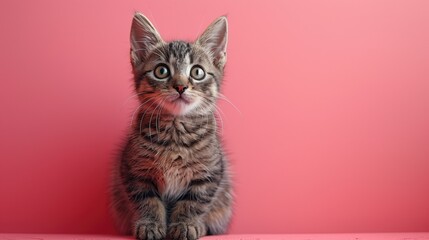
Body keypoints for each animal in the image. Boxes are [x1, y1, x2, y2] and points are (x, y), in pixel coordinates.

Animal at [108, 13, 232, 240]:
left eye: (198, 72)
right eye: (161, 70)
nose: (181, 86)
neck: (176, 131)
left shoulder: (208, 174)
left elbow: (194, 202)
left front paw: (186, 224)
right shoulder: (134, 171)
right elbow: (146, 200)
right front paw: (150, 224)